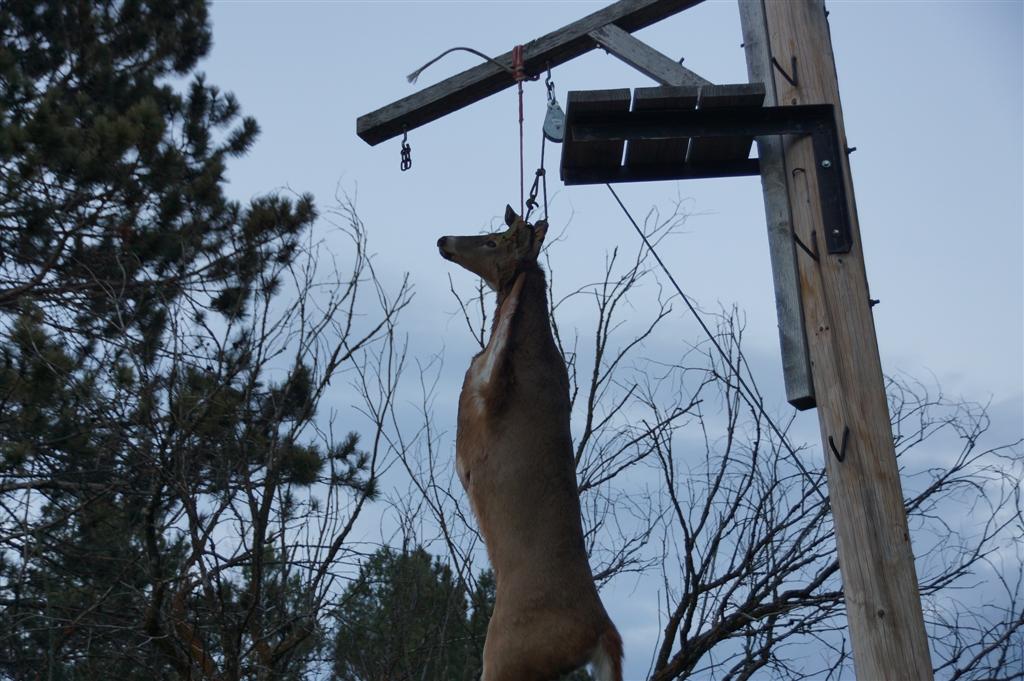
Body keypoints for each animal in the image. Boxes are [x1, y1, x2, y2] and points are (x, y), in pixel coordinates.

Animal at [437, 206, 623, 681]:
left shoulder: (492, 387)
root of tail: (600, 632)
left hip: (508, 656)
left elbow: (508, 321)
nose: (444, 239)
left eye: (492, 240)